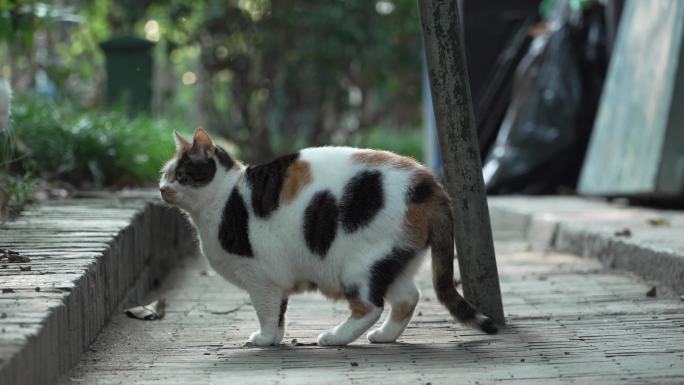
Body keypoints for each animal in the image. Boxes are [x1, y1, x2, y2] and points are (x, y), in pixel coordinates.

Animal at [158, 128, 494, 344]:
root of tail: (430, 184)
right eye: (164, 174)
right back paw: (384, 337)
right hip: (394, 258)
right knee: (408, 298)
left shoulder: (260, 277)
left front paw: (263, 339)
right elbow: (279, 313)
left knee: (370, 306)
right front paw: (275, 338)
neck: (222, 197)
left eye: (181, 175)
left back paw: (334, 337)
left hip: (359, 263)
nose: (161, 188)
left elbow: (266, 311)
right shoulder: (276, 279)